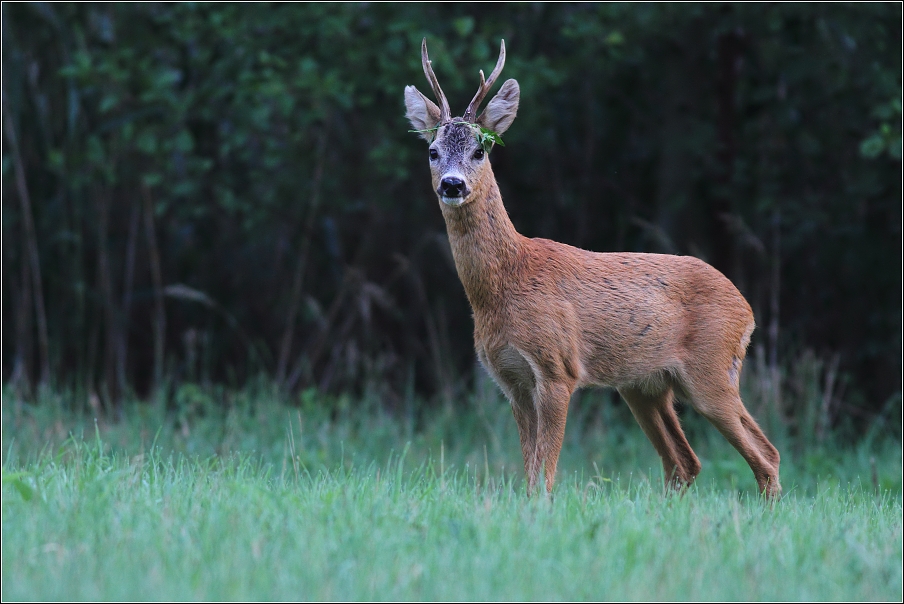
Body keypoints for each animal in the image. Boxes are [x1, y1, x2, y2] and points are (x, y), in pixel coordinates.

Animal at [406, 40, 780, 498]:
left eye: (480, 149)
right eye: (432, 151)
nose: (452, 184)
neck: (505, 283)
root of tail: (747, 310)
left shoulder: (557, 368)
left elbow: (544, 476)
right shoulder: (511, 380)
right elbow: (529, 470)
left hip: (710, 370)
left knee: (764, 456)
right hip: (644, 386)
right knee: (686, 461)